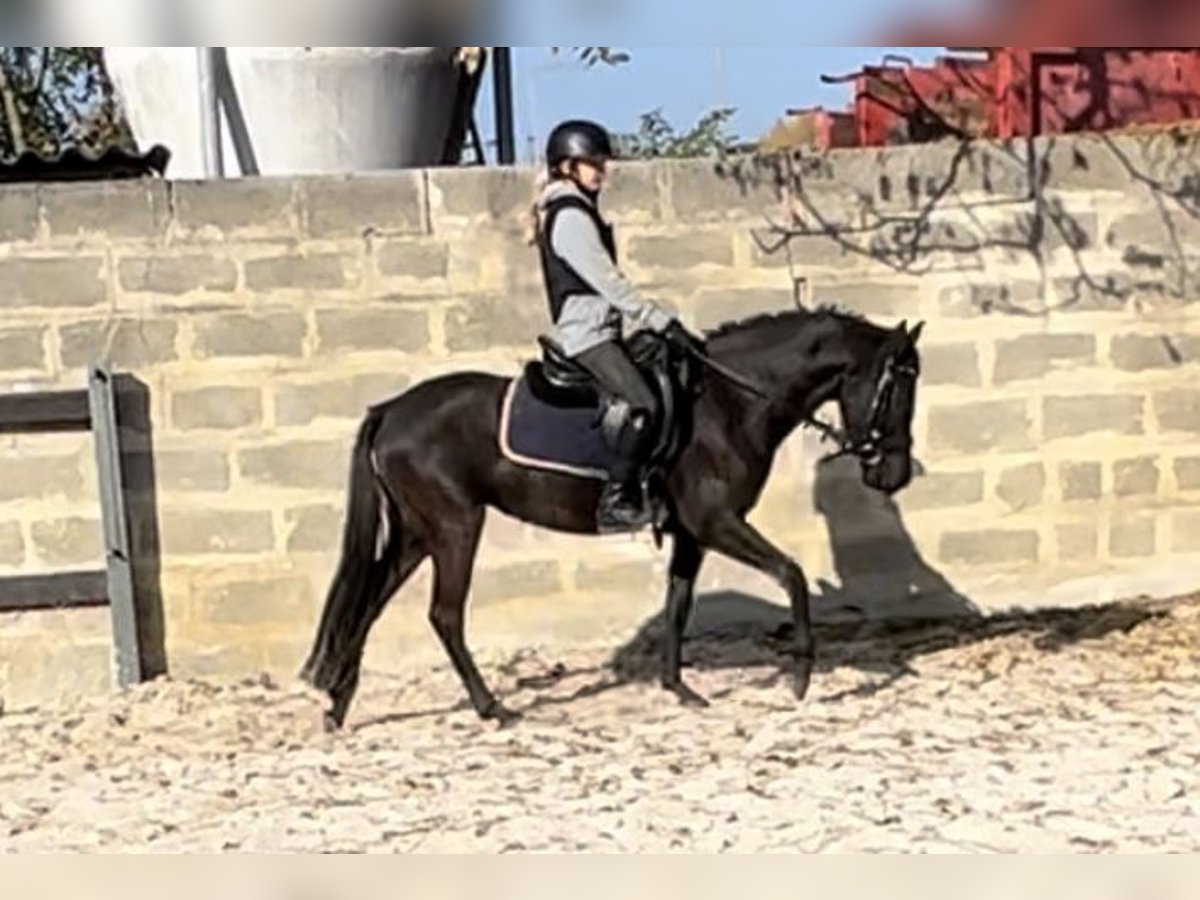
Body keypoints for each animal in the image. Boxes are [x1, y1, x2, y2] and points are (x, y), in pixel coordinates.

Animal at [300, 307, 926, 729]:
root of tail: (391, 411)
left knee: (370, 600)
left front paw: (679, 688)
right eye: (898, 387)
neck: (727, 403)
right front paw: (799, 676)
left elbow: (678, 605)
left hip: (416, 532)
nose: (894, 475)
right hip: (455, 528)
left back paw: (339, 704)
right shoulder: (717, 522)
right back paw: (492, 708)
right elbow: (791, 574)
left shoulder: (693, 534)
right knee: (444, 615)